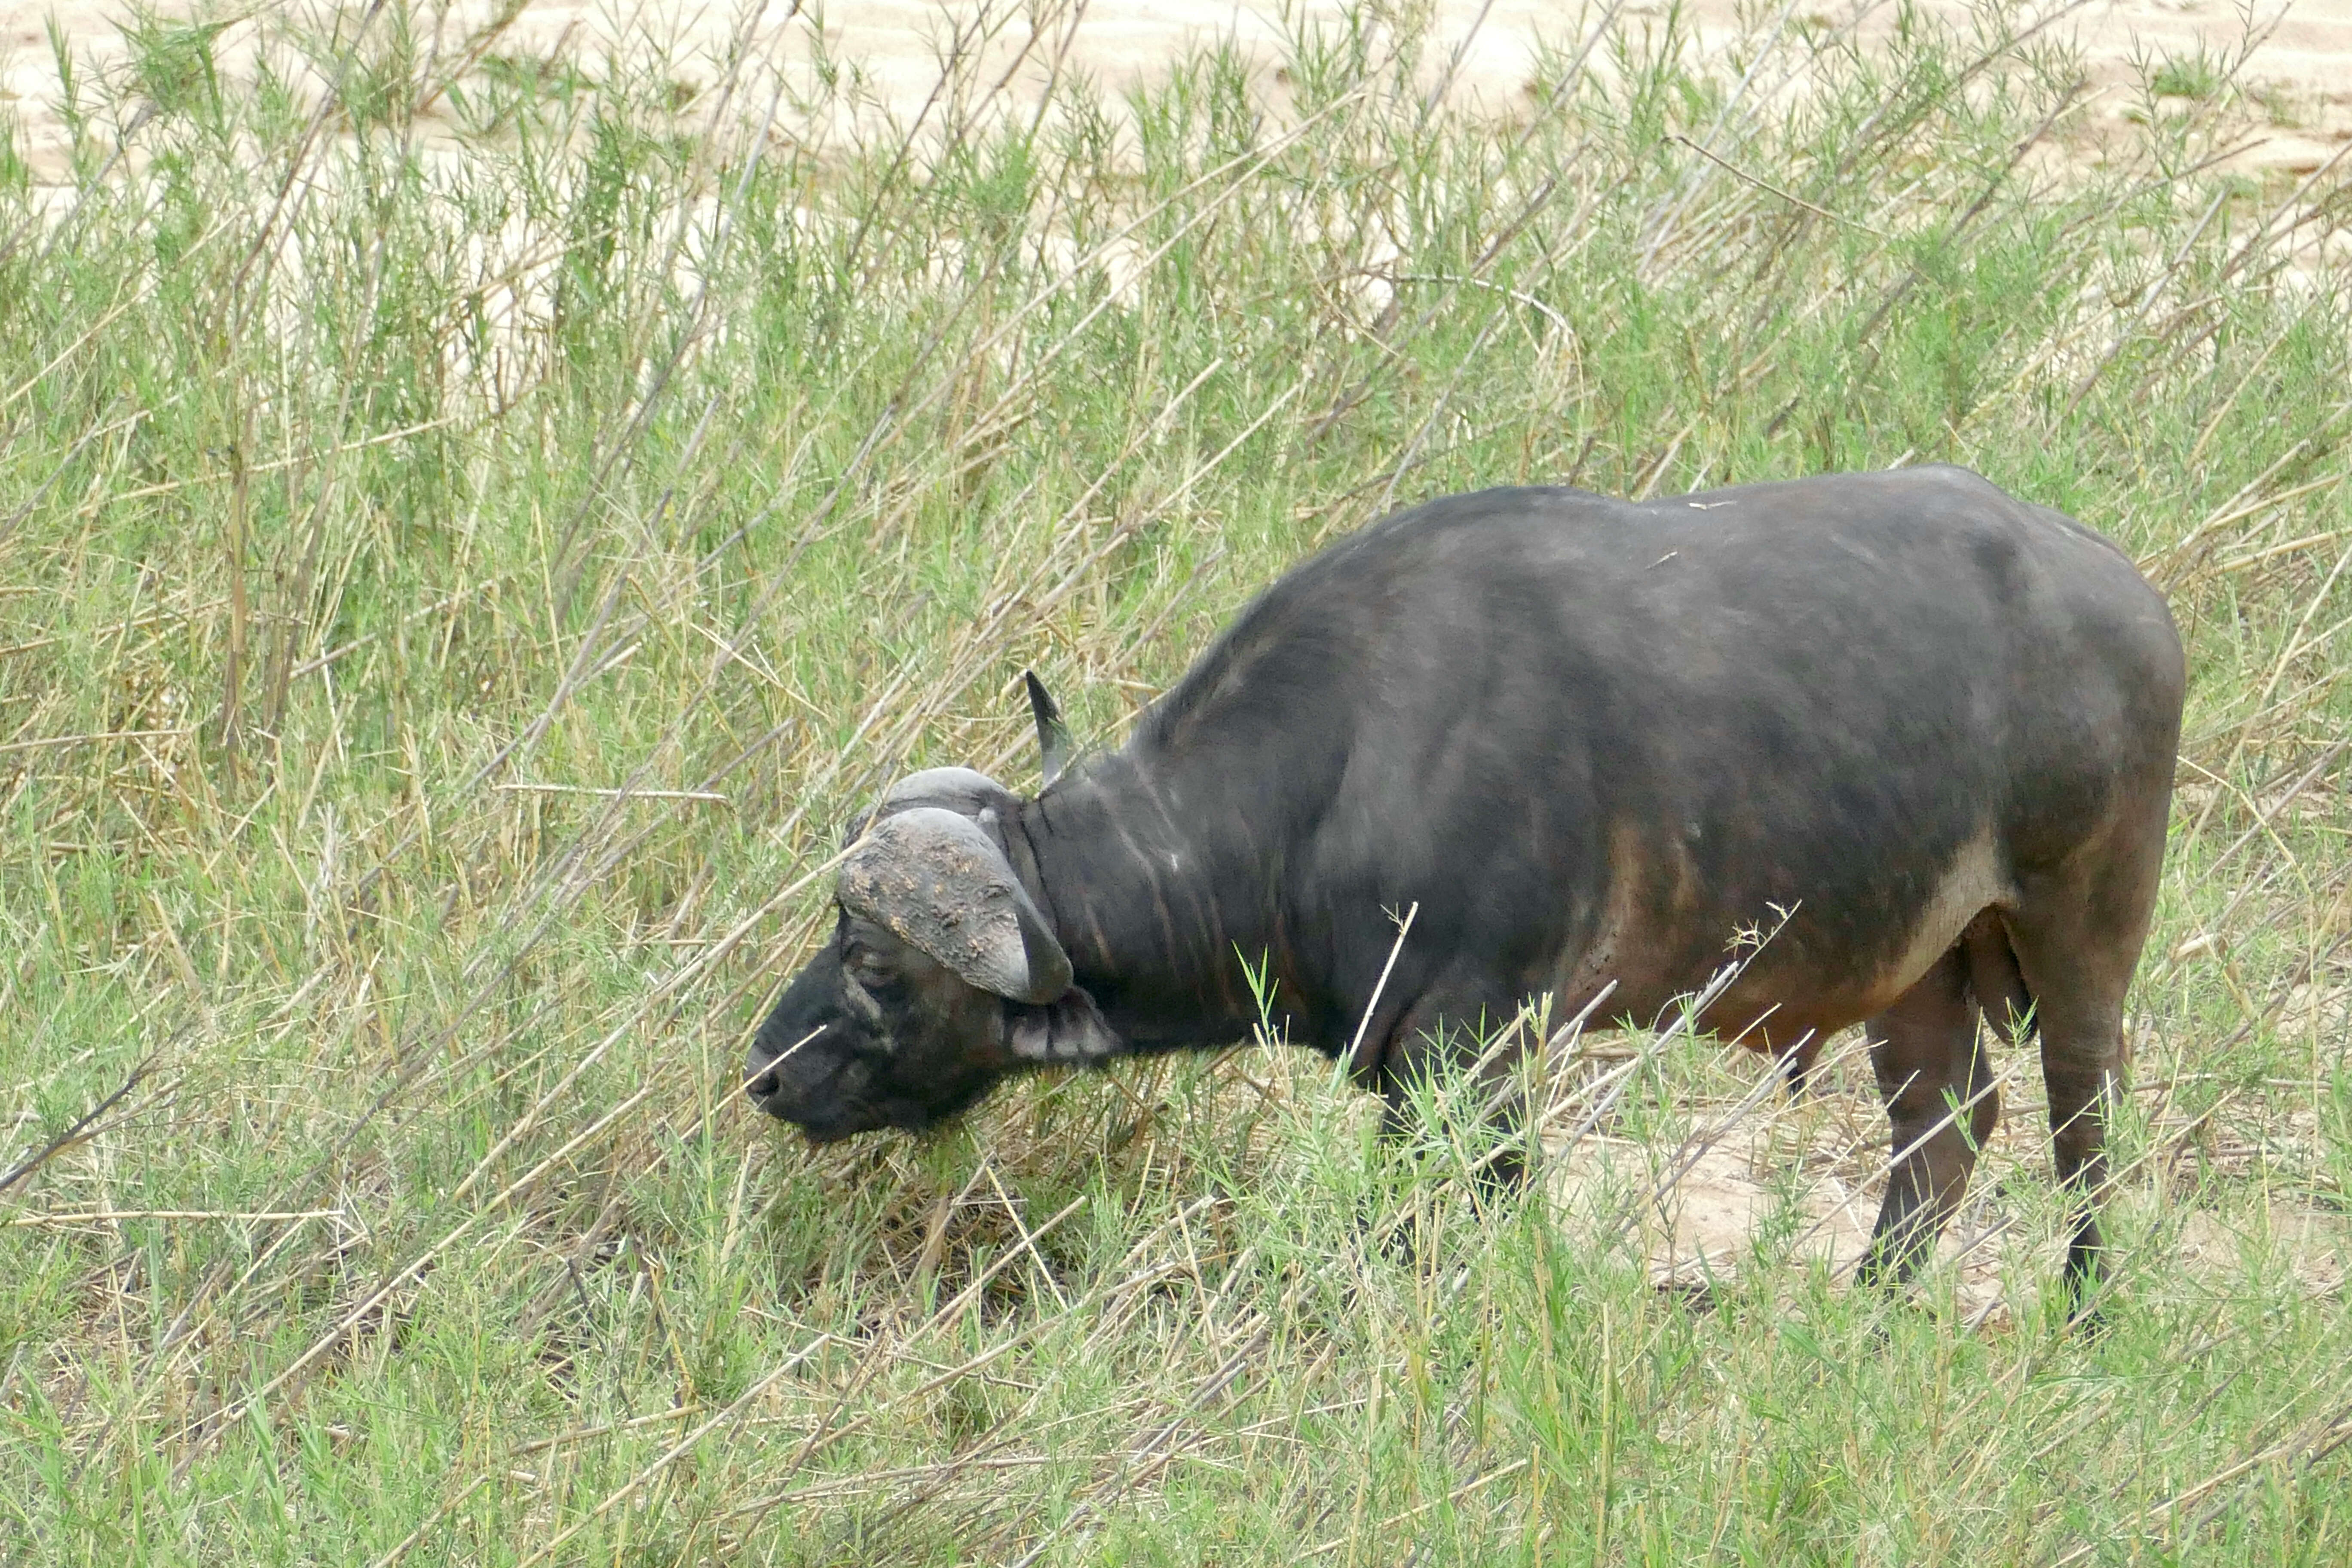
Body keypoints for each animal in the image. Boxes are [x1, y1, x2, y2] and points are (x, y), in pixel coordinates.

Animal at [753, 470, 2183, 1316]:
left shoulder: (1469, 1046)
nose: (766, 1070)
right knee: (1945, 1128)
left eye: (875, 967)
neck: (1339, 770)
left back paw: (2084, 1309)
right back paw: (1871, 1312)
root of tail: (2128, 592)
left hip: (2084, 927)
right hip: (1917, 967)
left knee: (2084, 1116)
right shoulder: (1420, 1064)